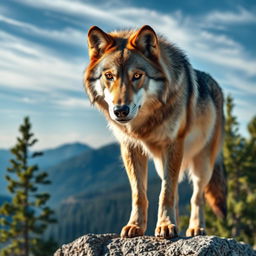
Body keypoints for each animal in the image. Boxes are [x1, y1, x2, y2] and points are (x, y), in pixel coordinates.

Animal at [84, 25, 226, 238]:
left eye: (137, 76)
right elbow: (139, 194)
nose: (120, 110)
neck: (145, 123)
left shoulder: (173, 145)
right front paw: (136, 226)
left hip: (202, 164)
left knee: (197, 196)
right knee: (177, 194)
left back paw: (195, 228)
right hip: (163, 164)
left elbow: (166, 192)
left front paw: (166, 225)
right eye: (109, 76)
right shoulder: (130, 147)